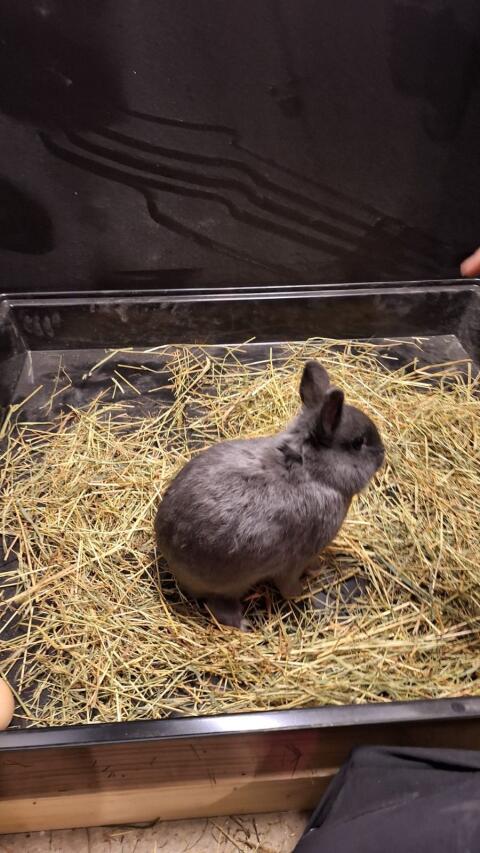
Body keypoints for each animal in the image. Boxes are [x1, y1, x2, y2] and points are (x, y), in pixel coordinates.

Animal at [155, 360, 384, 629]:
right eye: (358, 443)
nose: (382, 453)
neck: (311, 470)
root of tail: (167, 551)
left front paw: (317, 569)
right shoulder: (294, 561)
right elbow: (288, 584)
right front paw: (301, 592)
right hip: (228, 585)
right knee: (219, 608)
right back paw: (244, 625)